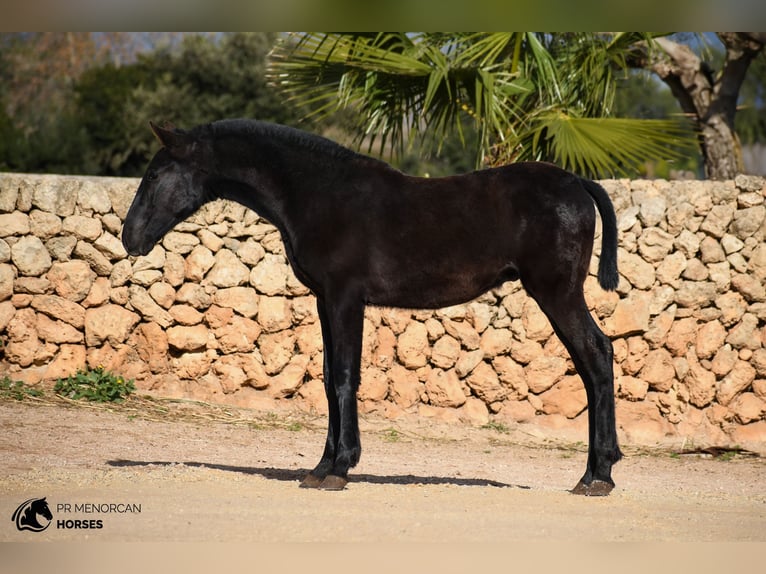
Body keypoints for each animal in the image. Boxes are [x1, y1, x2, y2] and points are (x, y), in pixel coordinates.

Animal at [121, 119, 624, 498]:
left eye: (154, 176)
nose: (129, 238)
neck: (318, 193)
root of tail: (577, 182)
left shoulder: (344, 297)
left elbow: (344, 376)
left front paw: (340, 468)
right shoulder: (325, 299)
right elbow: (329, 378)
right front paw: (321, 467)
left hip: (557, 294)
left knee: (596, 356)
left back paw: (597, 476)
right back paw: (598, 470)